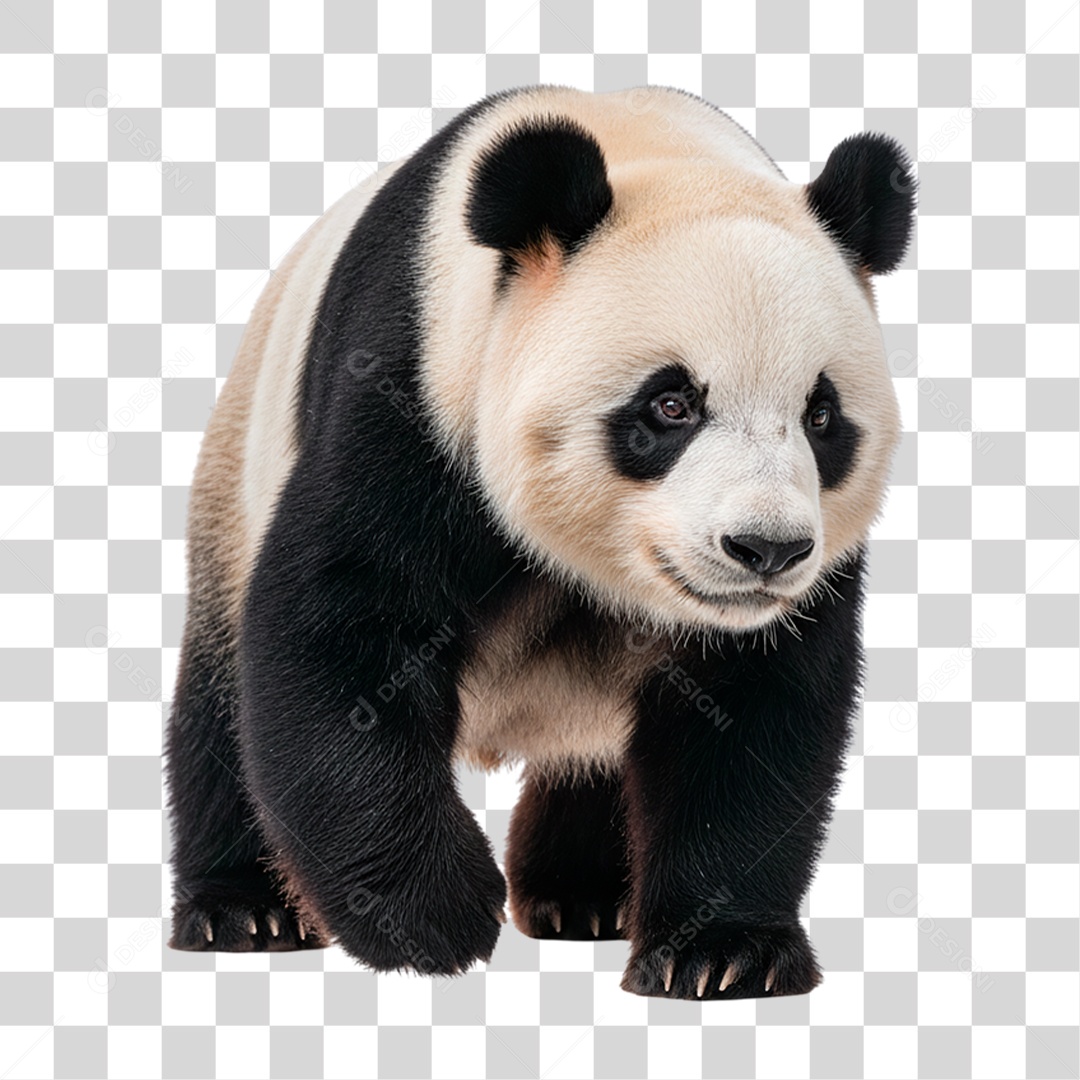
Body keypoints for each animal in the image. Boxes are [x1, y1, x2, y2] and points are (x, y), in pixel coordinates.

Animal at [165, 84, 914, 1000]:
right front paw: (437, 919)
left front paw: (725, 954)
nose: (765, 549)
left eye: (821, 416)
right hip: (235, 471)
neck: (648, 149)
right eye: (670, 405)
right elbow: (340, 636)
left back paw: (581, 895)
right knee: (219, 696)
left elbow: (754, 709)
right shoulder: (413, 393)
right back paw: (243, 911)